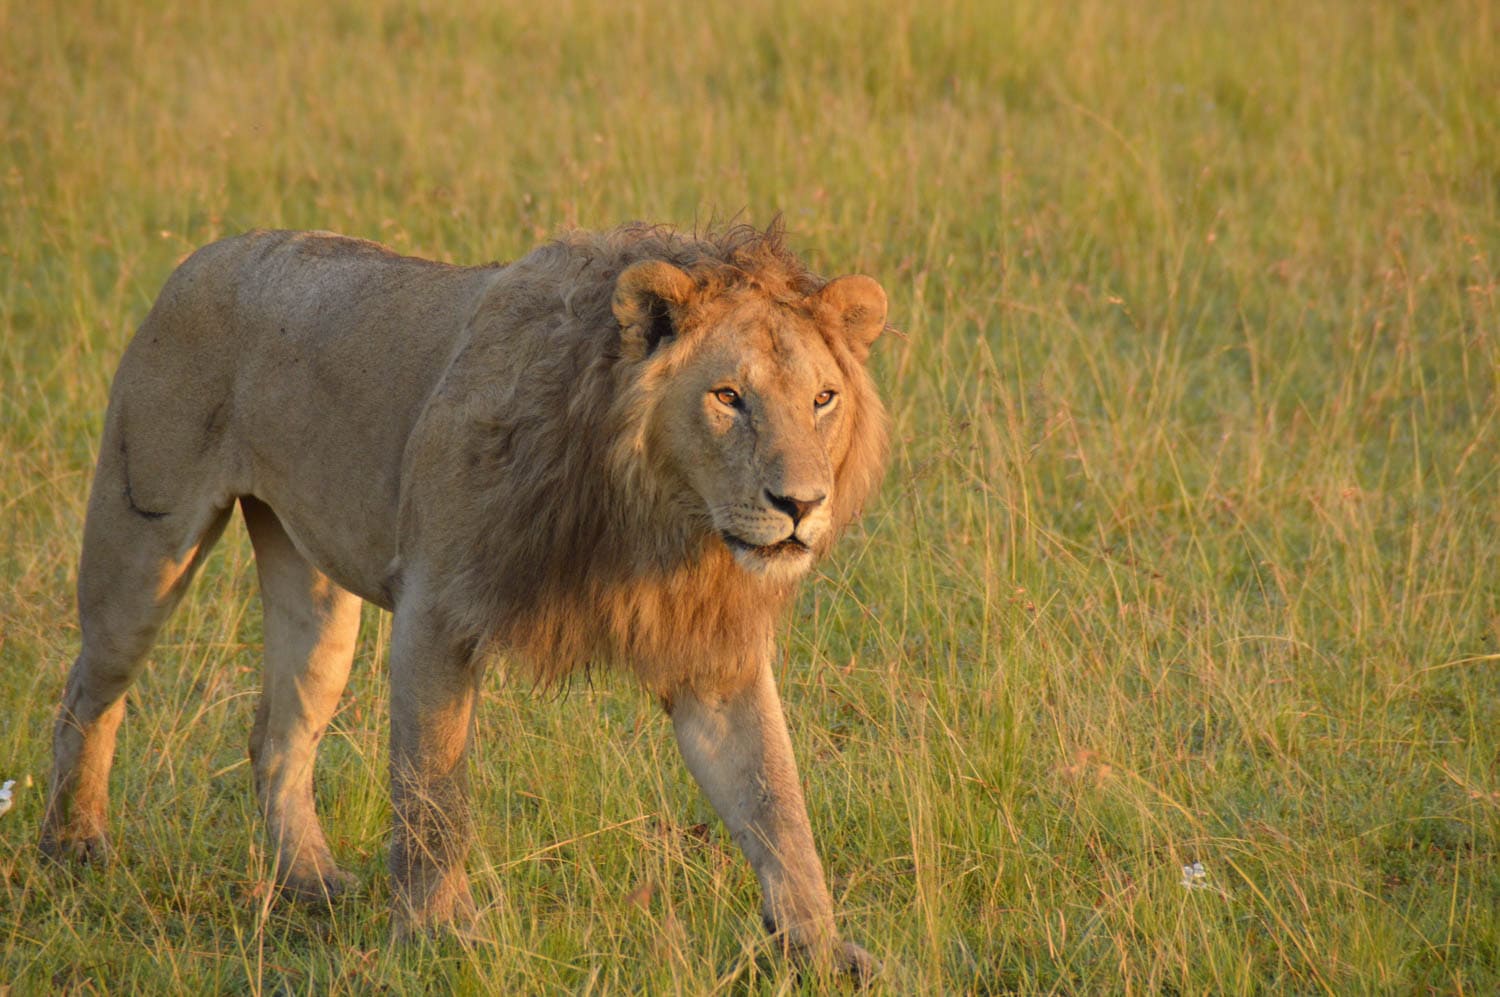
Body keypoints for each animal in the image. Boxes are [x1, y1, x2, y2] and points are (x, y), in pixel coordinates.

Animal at [40, 222, 889, 976]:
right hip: (144, 537)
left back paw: (313, 884)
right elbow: (434, 791)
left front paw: (819, 949)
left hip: (312, 590)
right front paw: (439, 936)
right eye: (728, 396)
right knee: (89, 690)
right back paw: (73, 845)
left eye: (823, 398)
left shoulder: (712, 660)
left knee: (276, 738)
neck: (656, 516)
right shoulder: (436, 610)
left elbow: (775, 800)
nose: (801, 504)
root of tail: (208, 252)